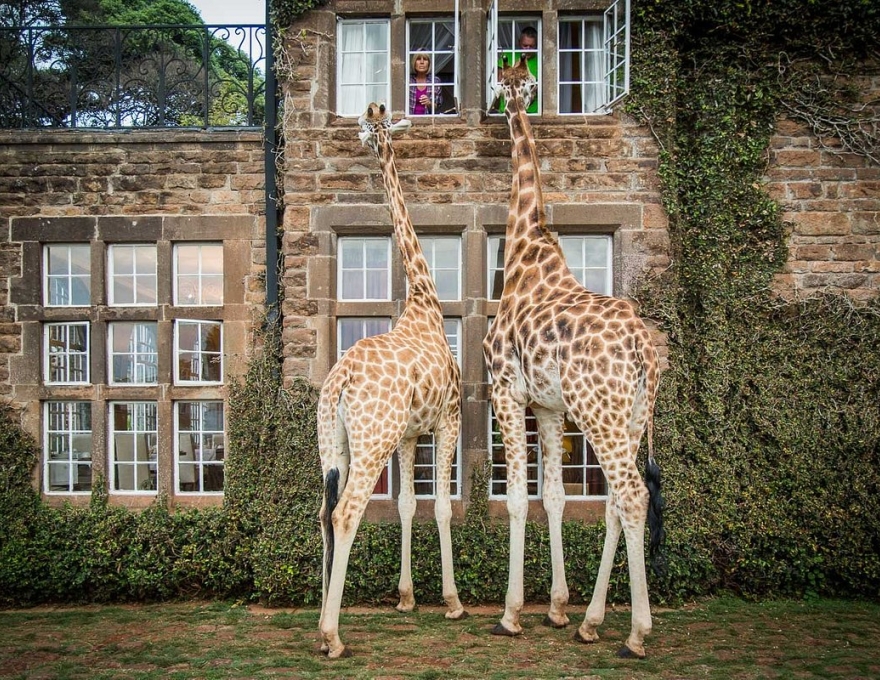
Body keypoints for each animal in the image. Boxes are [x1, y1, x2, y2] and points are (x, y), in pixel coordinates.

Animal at [316, 103, 467, 659]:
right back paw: (332, 636)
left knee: (323, 515)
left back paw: (321, 624)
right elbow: (441, 507)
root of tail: (340, 380)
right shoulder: (448, 418)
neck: (424, 299)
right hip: (372, 439)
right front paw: (452, 600)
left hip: (333, 441)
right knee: (345, 514)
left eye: (372, 126)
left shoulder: (407, 434)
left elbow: (405, 505)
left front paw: (405, 597)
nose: (372, 130)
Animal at [483, 56, 665, 658]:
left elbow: (519, 498)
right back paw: (591, 620)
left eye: (502, 79)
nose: (500, 102)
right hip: (628, 415)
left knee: (631, 494)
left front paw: (512, 613)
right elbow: (555, 497)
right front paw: (558, 608)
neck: (526, 248)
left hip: (601, 413)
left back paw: (635, 632)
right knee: (614, 500)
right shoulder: (548, 407)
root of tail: (644, 351)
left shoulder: (506, 390)